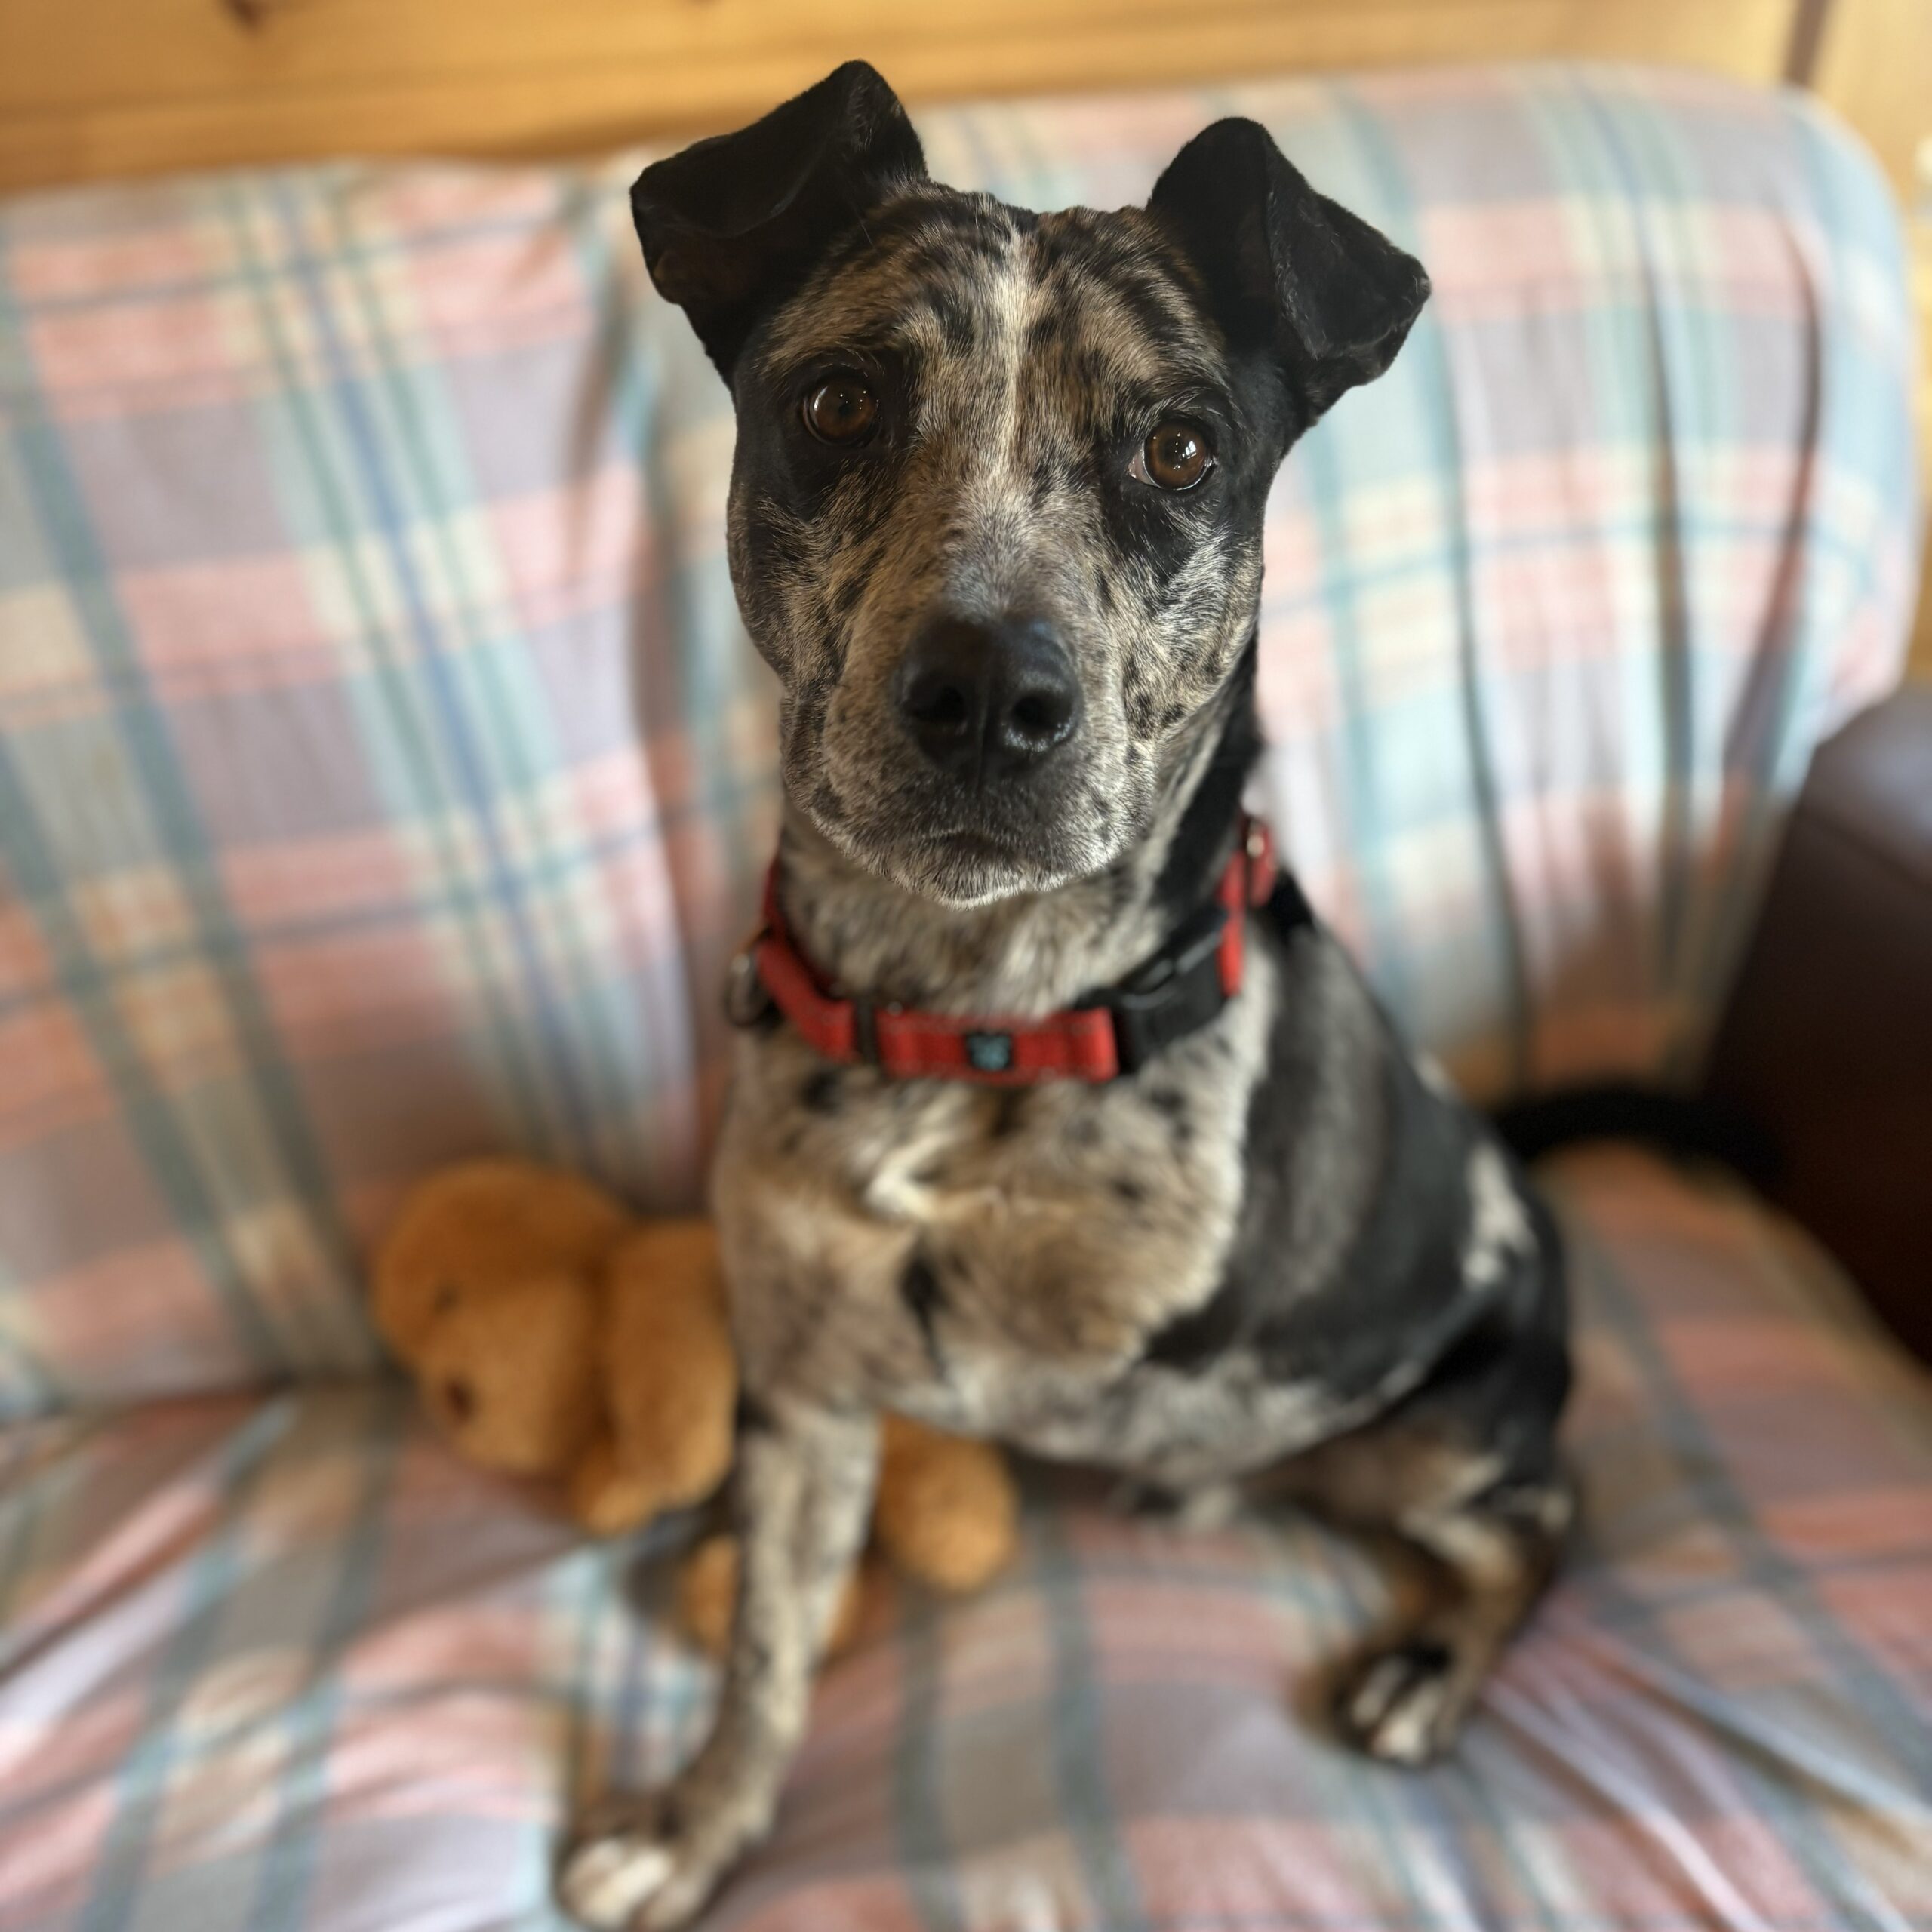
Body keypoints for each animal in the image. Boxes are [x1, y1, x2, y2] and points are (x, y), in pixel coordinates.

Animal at [562, 62, 1572, 1930]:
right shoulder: (806, 1388)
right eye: (838, 401)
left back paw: (1420, 1664)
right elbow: (766, 1655)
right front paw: (695, 1822)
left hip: (1441, 1427)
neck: (962, 1017)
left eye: (1179, 446)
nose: (986, 691)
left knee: (1536, 1516)